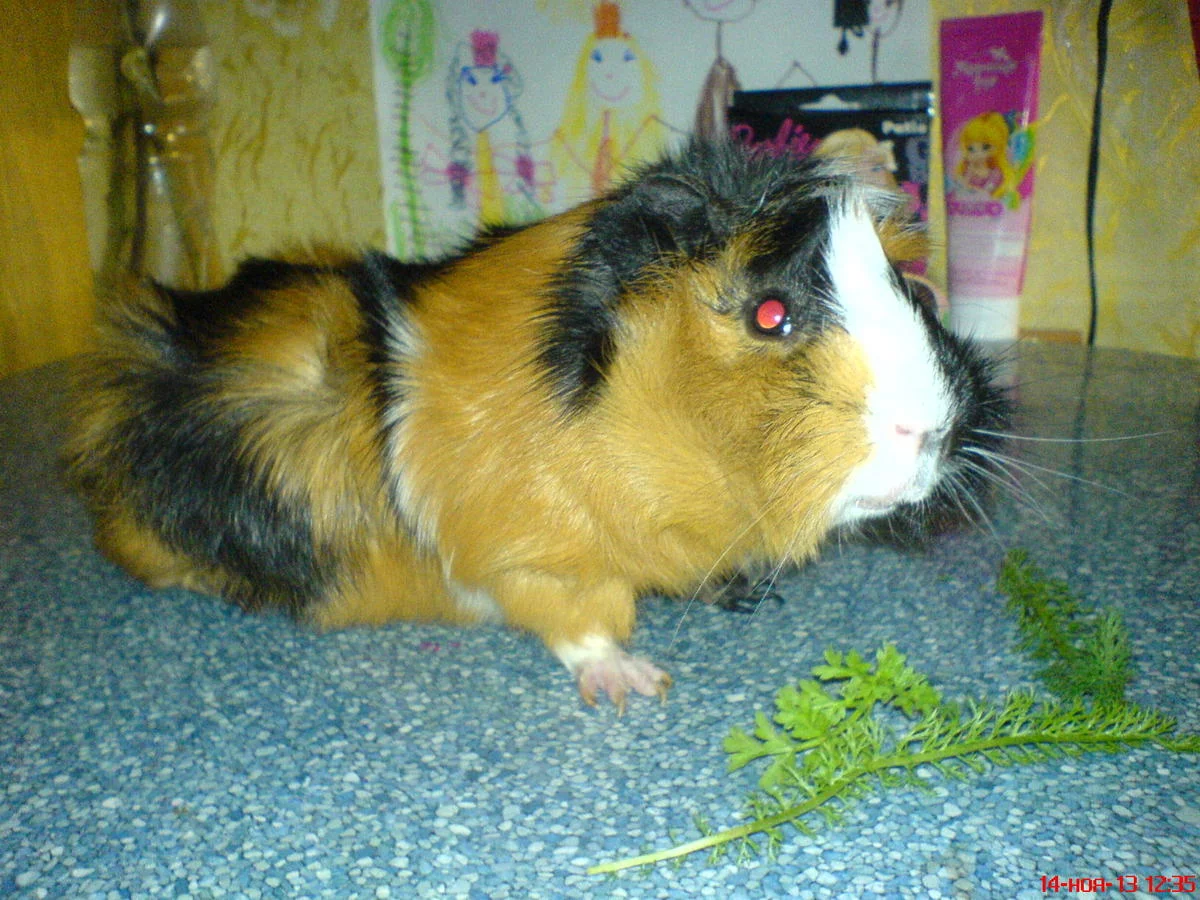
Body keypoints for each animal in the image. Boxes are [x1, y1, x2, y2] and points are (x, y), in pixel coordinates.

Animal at [64, 139, 1006, 710]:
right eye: (770, 314)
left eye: (914, 293)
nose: (930, 430)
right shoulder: (532, 557)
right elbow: (576, 618)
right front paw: (634, 684)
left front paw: (747, 594)